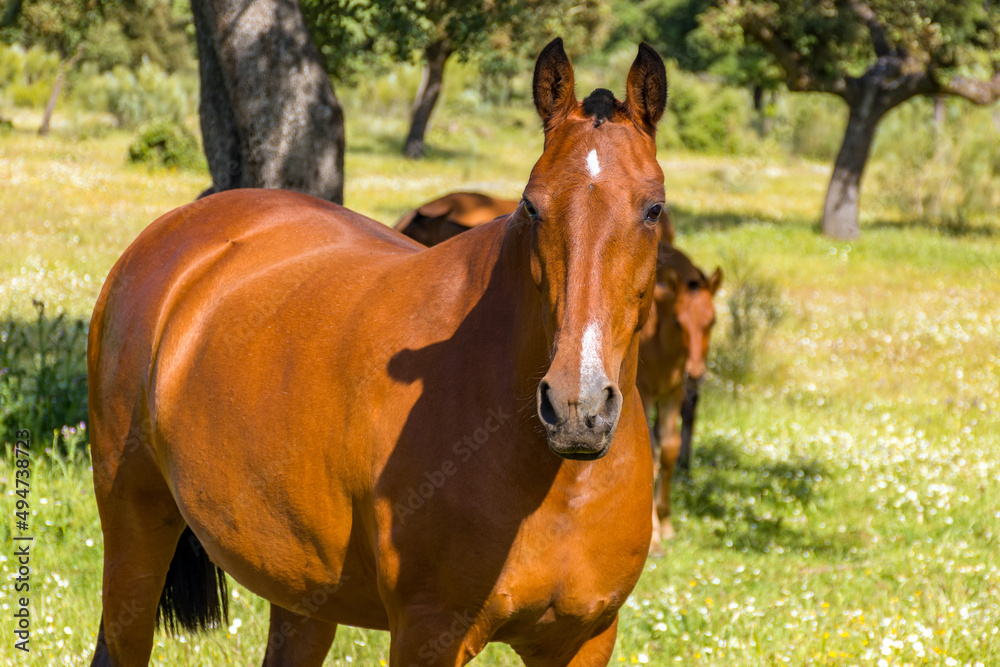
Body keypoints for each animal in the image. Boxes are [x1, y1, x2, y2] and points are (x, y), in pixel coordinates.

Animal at [87, 38, 669, 667]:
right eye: (532, 206)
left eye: (653, 209)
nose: (576, 408)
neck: (556, 481)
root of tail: (171, 238)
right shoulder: (427, 633)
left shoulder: (585, 638)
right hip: (134, 531)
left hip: (300, 586)